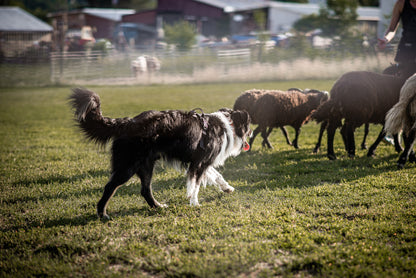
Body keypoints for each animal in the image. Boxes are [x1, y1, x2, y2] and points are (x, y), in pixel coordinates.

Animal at [70, 88, 252, 218]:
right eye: (249, 125)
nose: (250, 134)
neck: (227, 125)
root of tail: (127, 123)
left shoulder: (201, 162)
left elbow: (216, 176)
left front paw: (227, 188)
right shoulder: (199, 164)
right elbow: (195, 185)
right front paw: (194, 203)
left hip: (145, 165)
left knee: (145, 190)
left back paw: (157, 206)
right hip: (128, 166)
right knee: (110, 187)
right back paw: (102, 214)